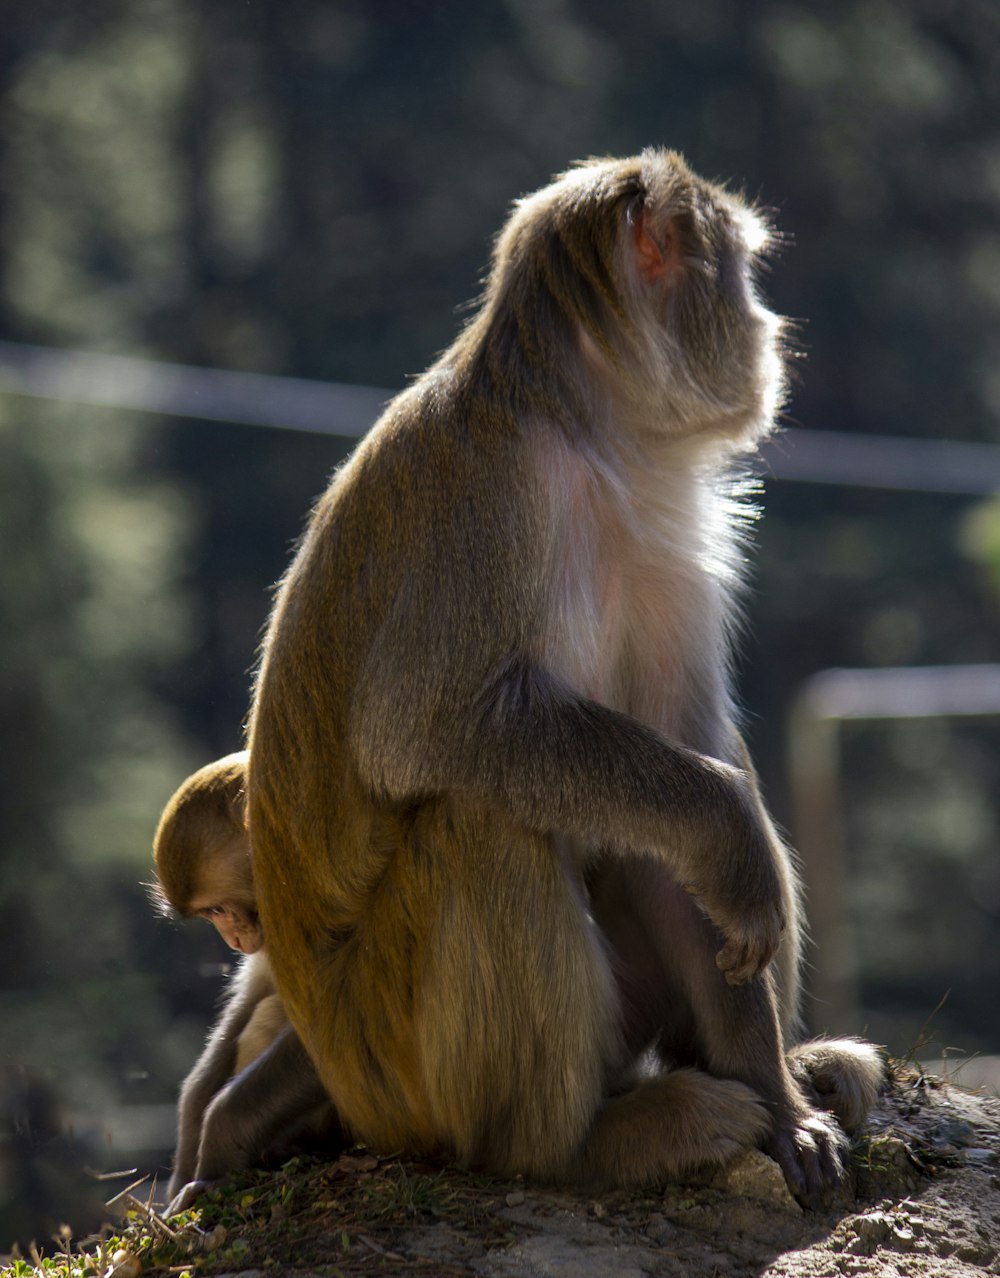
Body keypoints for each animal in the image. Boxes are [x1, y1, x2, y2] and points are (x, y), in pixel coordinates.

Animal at [248, 152, 884, 1206]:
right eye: (739, 271)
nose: (771, 331)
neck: (589, 436)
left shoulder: (670, 549)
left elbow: (688, 757)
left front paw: (781, 1101)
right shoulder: (490, 501)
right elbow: (418, 732)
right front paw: (726, 831)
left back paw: (779, 1072)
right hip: (397, 1071)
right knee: (482, 820)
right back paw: (570, 1147)